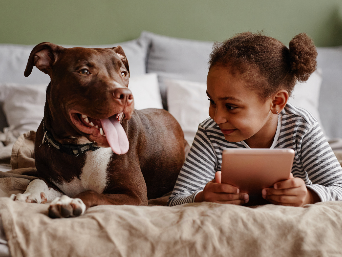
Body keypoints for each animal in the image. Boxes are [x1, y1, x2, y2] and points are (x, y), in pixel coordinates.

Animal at [10, 42, 187, 218]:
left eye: (123, 73)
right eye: (84, 71)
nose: (126, 95)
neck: (77, 150)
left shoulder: (134, 195)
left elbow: (91, 193)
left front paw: (70, 201)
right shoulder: (53, 182)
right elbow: (36, 181)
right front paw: (28, 195)